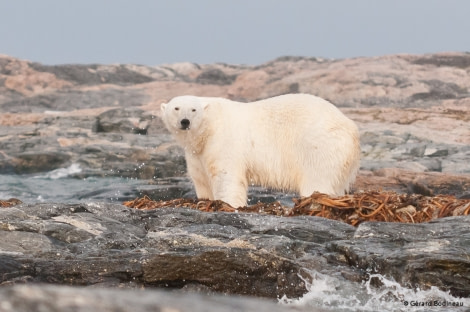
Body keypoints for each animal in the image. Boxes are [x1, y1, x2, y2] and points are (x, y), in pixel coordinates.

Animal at [160, 94, 362, 208]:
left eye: (193, 109)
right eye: (176, 108)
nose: (185, 121)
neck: (209, 126)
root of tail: (351, 127)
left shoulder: (224, 141)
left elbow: (226, 177)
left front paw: (228, 204)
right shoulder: (197, 153)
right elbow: (201, 178)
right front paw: (205, 200)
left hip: (318, 146)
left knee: (317, 179)